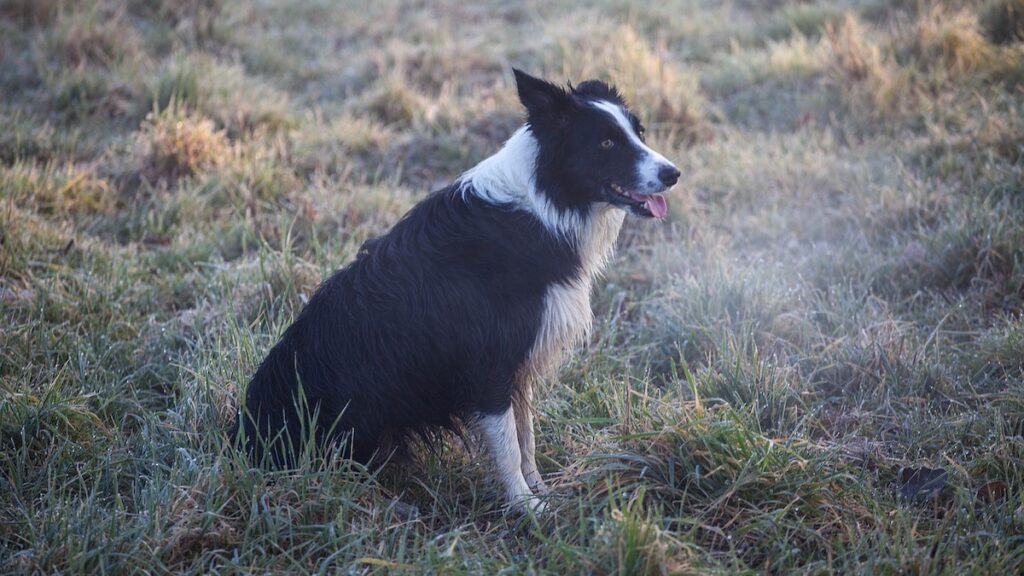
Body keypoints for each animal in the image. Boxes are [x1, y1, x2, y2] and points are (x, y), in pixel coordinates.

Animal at [239, 68, 679, 510]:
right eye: (606, 142)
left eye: (639, 132)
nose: (673, 174)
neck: (544, 203)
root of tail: (245, 438)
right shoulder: (490, 366)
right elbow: (509, 445)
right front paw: (525, 507)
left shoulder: (520, 365)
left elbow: (527, 437)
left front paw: (541, 492)